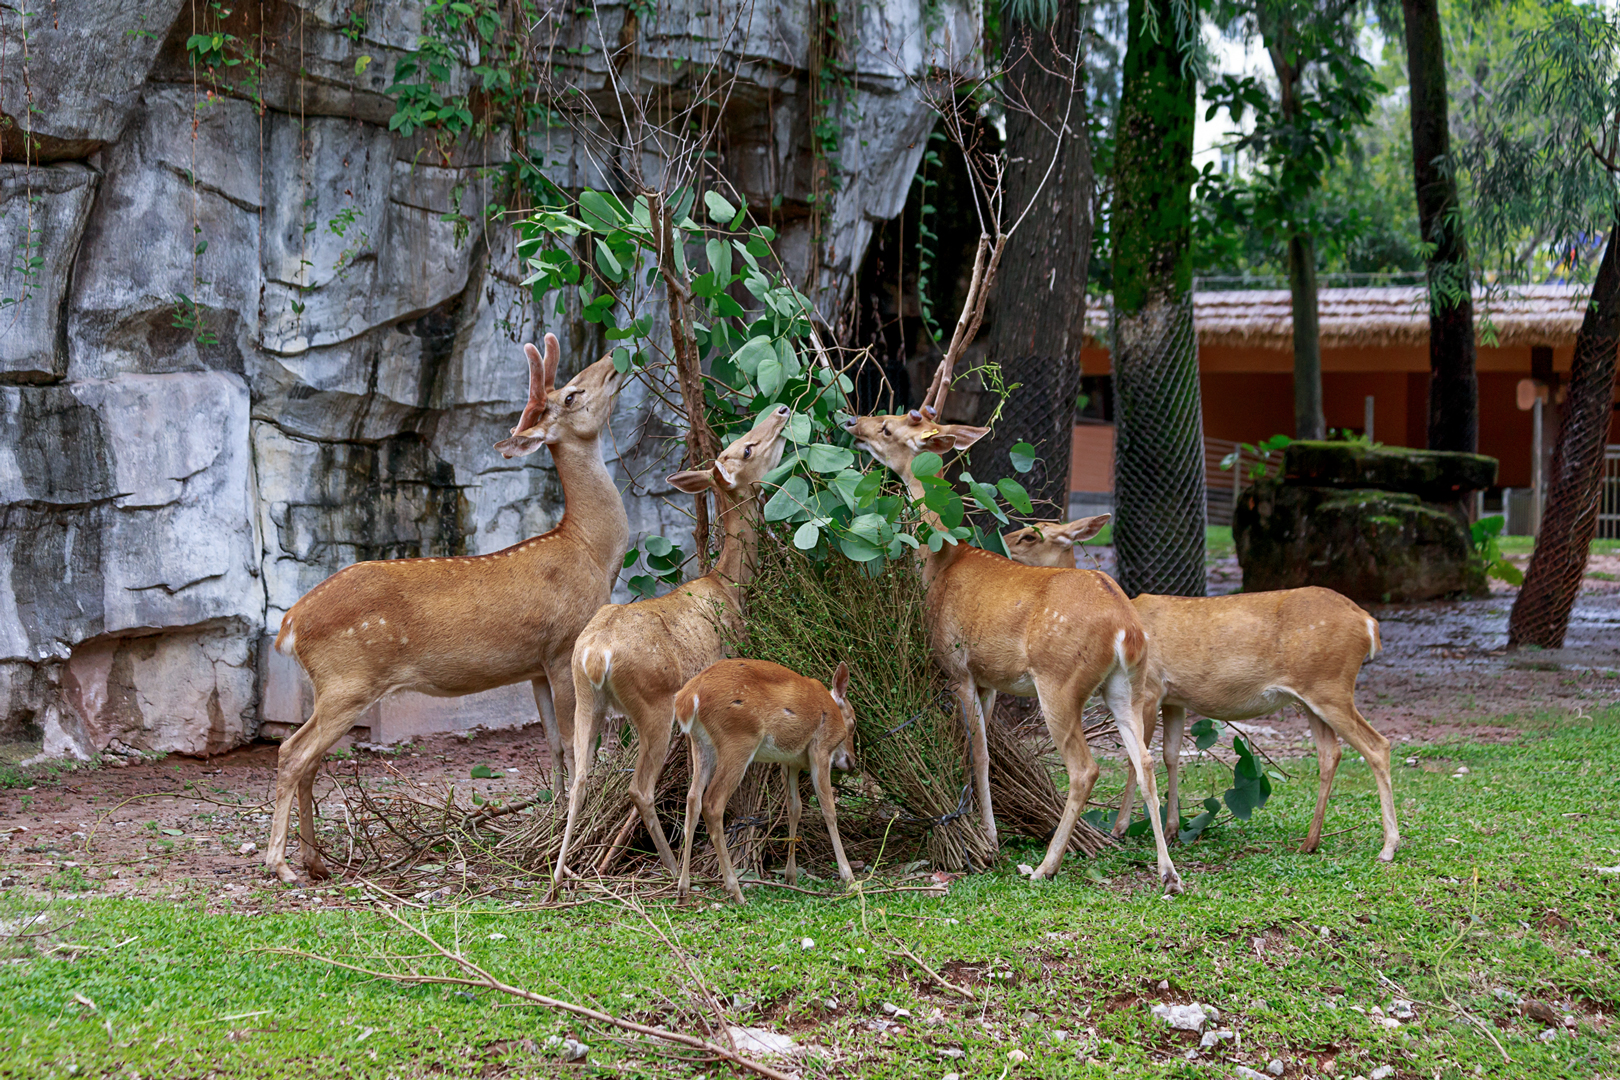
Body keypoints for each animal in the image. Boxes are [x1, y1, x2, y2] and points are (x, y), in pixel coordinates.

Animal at [265, 334, 630, 884]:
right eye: (570, 394)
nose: (611, 361)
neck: (590, 551)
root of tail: (290, 623)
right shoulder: (563, 645)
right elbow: (576, 743)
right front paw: (569, 825)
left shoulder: (535, 665)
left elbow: (552, 744)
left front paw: (551, 817)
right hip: (349, 679)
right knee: (291, 753)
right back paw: (280, 865)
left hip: (330, 685)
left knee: (307, 759)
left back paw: (315, 862)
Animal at [552, 404, 792, 886]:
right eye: (747, 448)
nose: (780, 410)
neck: (729, 586)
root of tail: (596, 656)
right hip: (653, 704)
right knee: (640, 788)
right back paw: (667, 866)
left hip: (588, 700)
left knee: (581, 778)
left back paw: (558, 881)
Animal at [674, 658, 857, 904]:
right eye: (854, 723)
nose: (852, 762)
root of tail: (689, 696)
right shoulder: (821, 748)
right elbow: (828, 809)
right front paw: (849, 878)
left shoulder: (789, 761)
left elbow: (794, 808)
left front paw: (791, 876)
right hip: (738, 739)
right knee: (712, 803)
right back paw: (736, 891)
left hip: (700, 743)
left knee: (693, 799)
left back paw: (683, 889)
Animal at [840, 358, 1184, 893]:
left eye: (889, 427)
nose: (853, 421)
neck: (940, 562)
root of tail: (1125, 628)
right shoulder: (989, 679)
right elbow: (982, 752)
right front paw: (986, 832)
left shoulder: (957, 666)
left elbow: (977, 752)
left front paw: (990, 841)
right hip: (1124, 684)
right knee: (1142, 758)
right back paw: (1168, 873)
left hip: (1059, 680)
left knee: (1085, 768)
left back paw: (1044, 865)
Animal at [1001, 517, 1398, 862]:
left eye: (1030, 536)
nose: (1001, 539)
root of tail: (1369, 623)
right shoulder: (1174, 698)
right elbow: (1171, 754)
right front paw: (1173, 829)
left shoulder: (1148, 689)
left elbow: (1136, 757)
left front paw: (1120, 828)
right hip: (1311, 696)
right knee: (1330, 754)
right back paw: (1310, 842)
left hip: (1331, 686)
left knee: (1378, 745)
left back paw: (1388, 846)